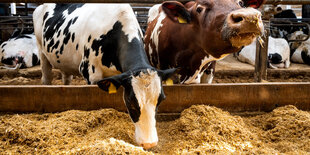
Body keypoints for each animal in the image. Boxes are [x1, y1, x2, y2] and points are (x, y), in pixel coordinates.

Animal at [33, 3, 177, 149]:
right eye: (130, 102)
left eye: (161, 100)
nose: (149, 143)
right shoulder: (89, 71)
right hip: (42, 52)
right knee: (46, 77)